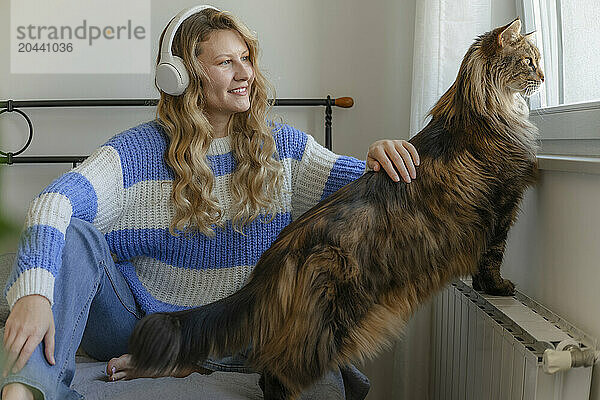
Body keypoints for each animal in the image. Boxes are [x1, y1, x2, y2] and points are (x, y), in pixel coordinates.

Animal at [130, 17, 544, 398]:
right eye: (529, 61)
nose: (541, 77)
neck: (480, 110)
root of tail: (279, 254)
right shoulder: (503, 204)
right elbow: (492, 256)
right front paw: (498, 288)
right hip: (335, 322)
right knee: (278, 370)